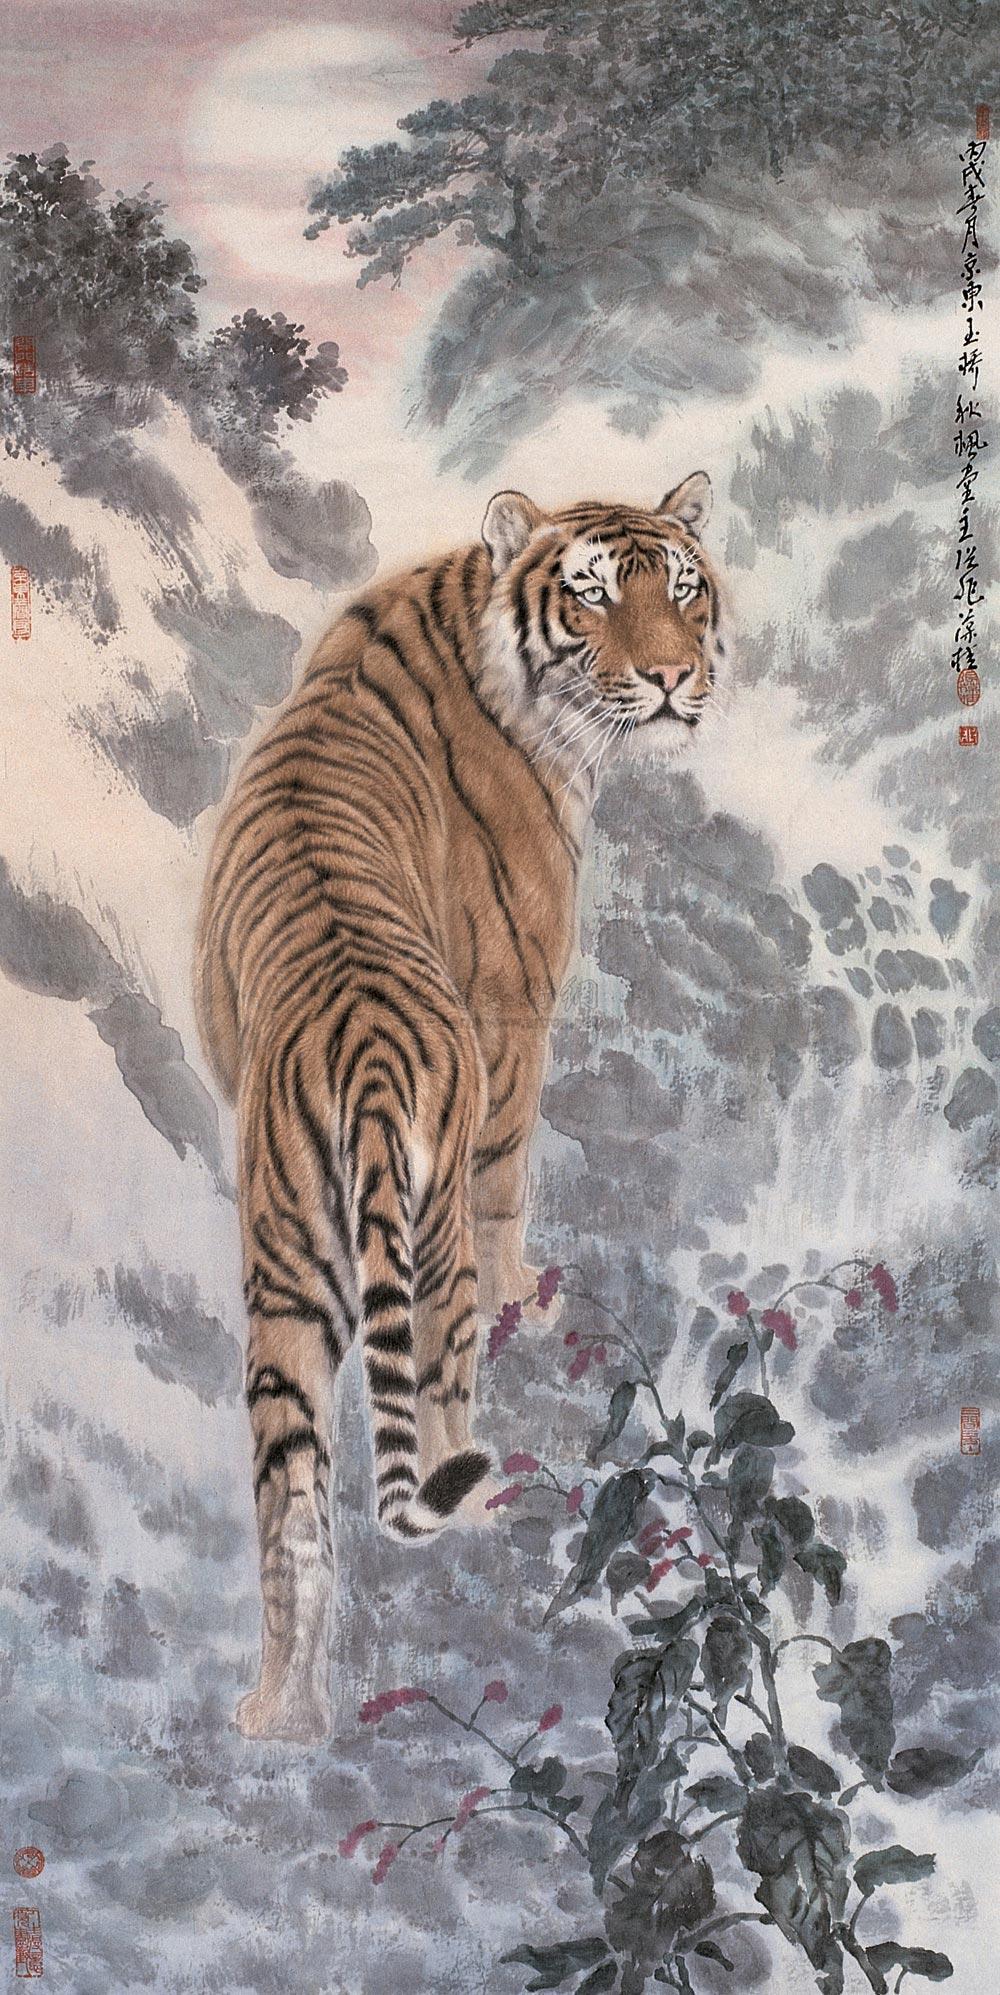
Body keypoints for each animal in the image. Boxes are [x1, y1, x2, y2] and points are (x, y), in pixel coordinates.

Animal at [194, 470, 727, 1740]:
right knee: (440, 1374)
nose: (673, 676)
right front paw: (528, 1293)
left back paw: (280, 1715)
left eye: (684, 589)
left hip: (285, 1269)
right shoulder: (514, 1009)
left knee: (294, 1502)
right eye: (595, 596)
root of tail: (366, 1051)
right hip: (419, 1232)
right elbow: (509, 1185)